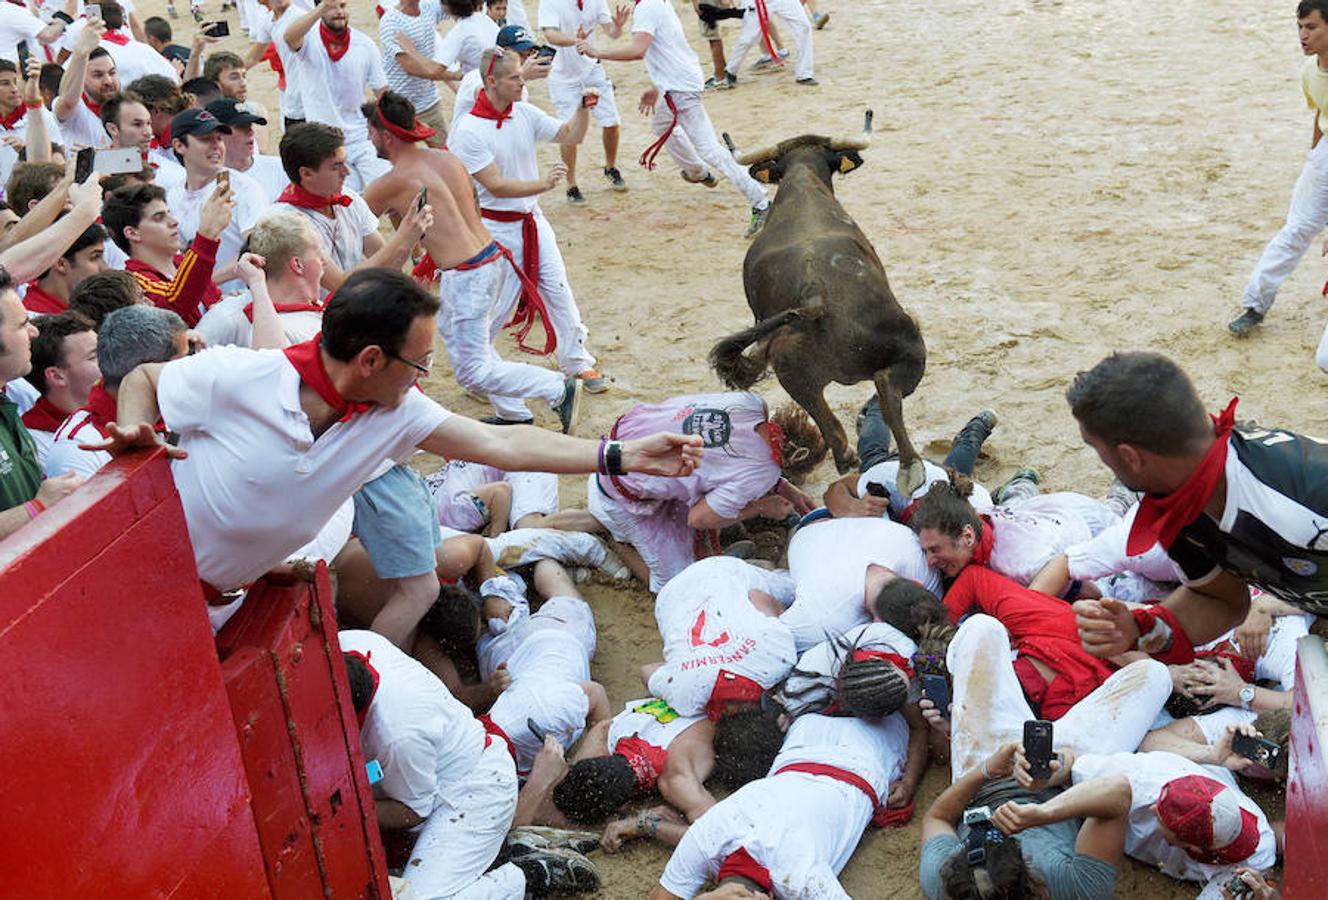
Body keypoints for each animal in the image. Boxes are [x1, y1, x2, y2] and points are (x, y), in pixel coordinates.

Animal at [711, 110, 929, 501]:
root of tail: (815, 300)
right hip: (912, 347)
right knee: (888, 392)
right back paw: (908, 467)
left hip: (791, 369)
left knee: (819, 407)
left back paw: (848, 455)